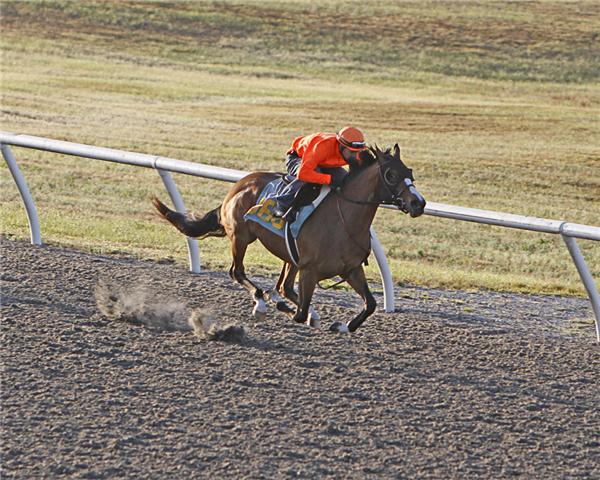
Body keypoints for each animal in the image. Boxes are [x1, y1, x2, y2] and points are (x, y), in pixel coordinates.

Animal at [155, 144, 426, 332]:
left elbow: (370, 304)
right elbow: (298, 311)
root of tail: (239, 184)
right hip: (241, 237)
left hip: (288, 255)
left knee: (283, 286)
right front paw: (281, 306)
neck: (343, 221)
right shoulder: (309, 270)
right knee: (238, 272)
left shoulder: (351, 269)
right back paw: (261, 302)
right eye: (391, 174)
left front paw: (342, 325)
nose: (418, 203)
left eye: (410, 171)